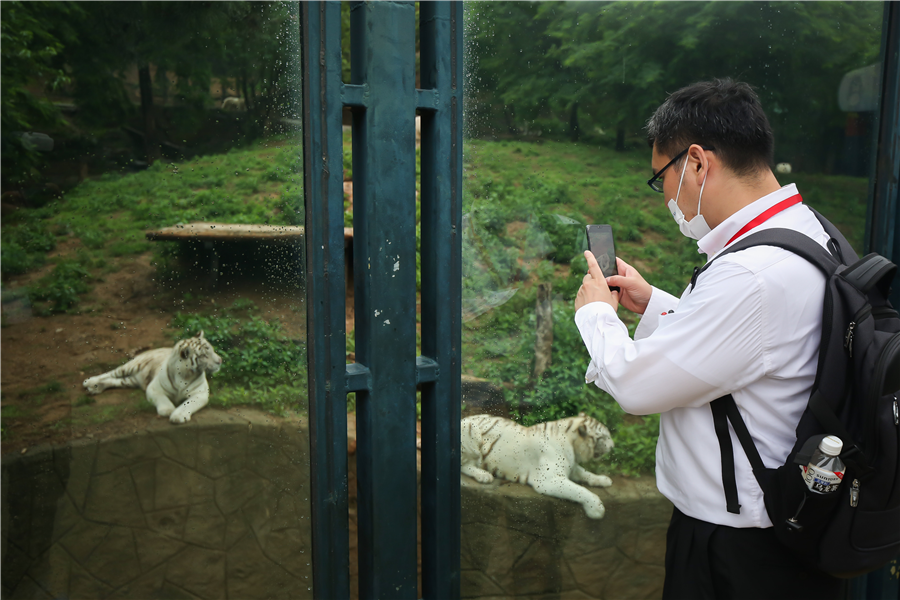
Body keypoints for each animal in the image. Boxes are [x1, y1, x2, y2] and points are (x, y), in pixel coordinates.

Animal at [83, 330, 223, 424]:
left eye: (212, 350)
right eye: (204, 355)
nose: (220, 360)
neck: (185, 374)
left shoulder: (200, 393)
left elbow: (188, 404)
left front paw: (177, 416)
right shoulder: (154, 388)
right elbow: (162, 399)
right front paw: (168, 410)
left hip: (130, 380)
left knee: (114, 381)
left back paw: (96, 387)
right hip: (131, 366)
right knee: (110, 373)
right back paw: (90, 382)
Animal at [460, 414, 616, 516]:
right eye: (604, 437)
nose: (613, 446)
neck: (573, 445)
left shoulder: (571, 467)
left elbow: (585, 473)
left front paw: (604, 479)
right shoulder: (549, 480)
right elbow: (579, 490)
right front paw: (596, 509)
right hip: (470, 433)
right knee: (464, 465)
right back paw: (483, 475)